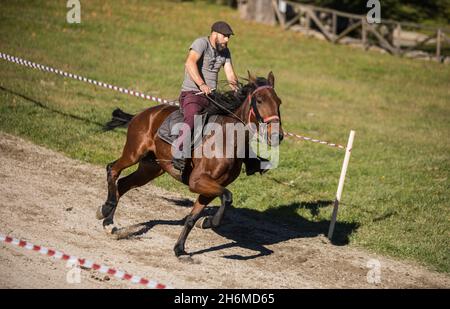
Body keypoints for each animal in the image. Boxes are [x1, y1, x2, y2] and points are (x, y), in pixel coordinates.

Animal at [97, 71, 284, 256]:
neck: (227, 140)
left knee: (123, 184)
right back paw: (105, 209)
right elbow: (227, 197)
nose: (277, 136)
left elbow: (193, 218)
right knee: (112, 170)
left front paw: (180, 248)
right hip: (134, 153)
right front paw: (208, 221)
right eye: (259, 100)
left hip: (150, 169)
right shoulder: (197, 181)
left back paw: (109, 223)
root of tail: (142, 114)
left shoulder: (210, 189)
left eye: (279, 102)